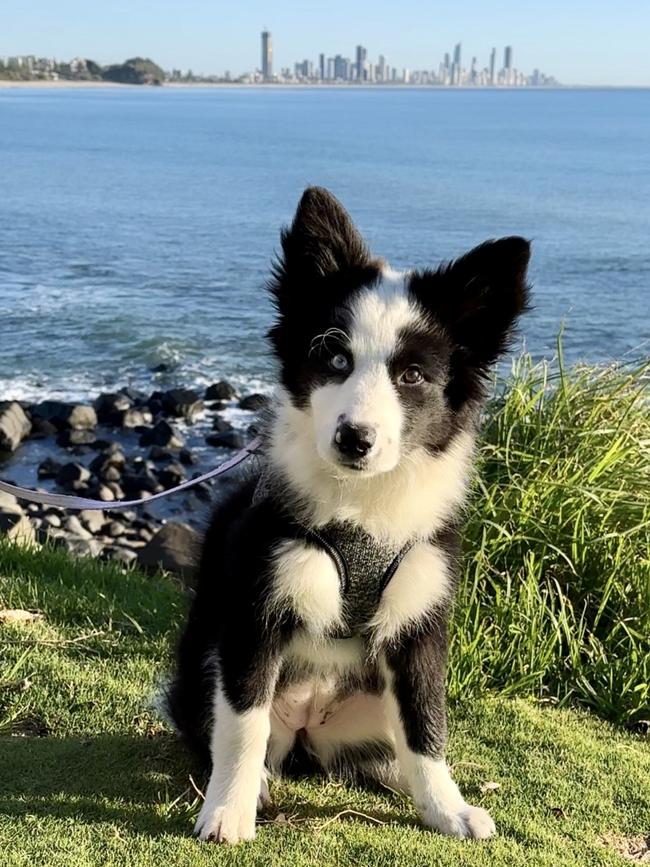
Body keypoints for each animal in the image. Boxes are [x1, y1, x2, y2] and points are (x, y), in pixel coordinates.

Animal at [166, 186, 528, 844]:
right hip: (205, 654)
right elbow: (242, 722)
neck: (362, 507)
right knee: (230, 724)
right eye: (335, 358)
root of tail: (310, 726)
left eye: (412, 375)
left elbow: (427, 724)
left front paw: (449, 809)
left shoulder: (420, 621)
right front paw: (227, 812)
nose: (354, 439)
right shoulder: (256, 609)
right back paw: (254, 784)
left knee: (395, 744)